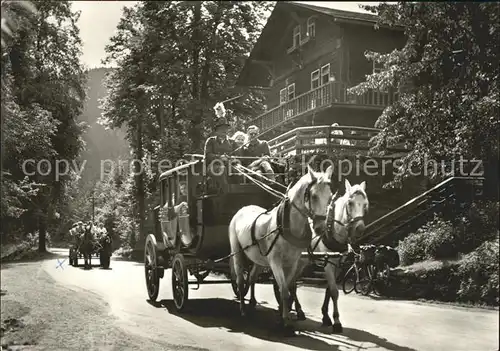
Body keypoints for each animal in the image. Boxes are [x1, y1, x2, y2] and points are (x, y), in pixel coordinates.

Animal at [229, 166, 332, 336]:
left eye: (330, 197)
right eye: (314, 196)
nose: (320, 228)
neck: (287, 227)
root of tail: (243, 208)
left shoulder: (293, 263)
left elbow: (287, 289)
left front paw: (283, 315)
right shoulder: (275, 262)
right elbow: (284, 290)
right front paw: (286, 322)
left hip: (258, 258)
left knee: (252, 278)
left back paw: (252, 302)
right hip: (237, 251)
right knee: (240, 280)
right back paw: (243, 309)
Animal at [286, 180, 368, 334]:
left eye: (365, 204)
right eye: (350, 203)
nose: (360, 229)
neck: (333, 230)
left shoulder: (338, 266)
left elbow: (329, 290)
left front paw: (325, 316)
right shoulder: (328, 264)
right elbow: (335, 292)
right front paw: (336, 322)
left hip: (302, 262)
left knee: (292, 283)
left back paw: (294, 308)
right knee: (291, 284)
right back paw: (294, 309)